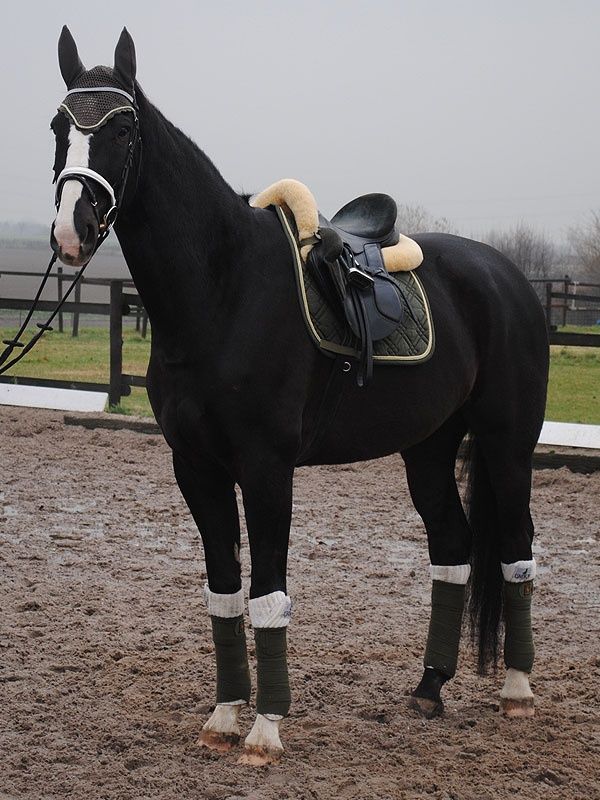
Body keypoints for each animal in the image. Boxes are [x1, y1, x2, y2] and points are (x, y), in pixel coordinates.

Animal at [50, 28, 548, 764]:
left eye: (122, 129)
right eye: (60, 127)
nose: (71, 230)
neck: (224, 289)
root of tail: (506, 275)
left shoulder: (266, 469)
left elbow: (267, 595)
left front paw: (265, 731)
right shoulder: (195, 469)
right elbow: (224, 593)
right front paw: (224, 718)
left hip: (507, 445)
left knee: (515, 548)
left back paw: (516, 692)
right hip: (428, 449)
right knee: (454, 549)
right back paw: (429, 688)